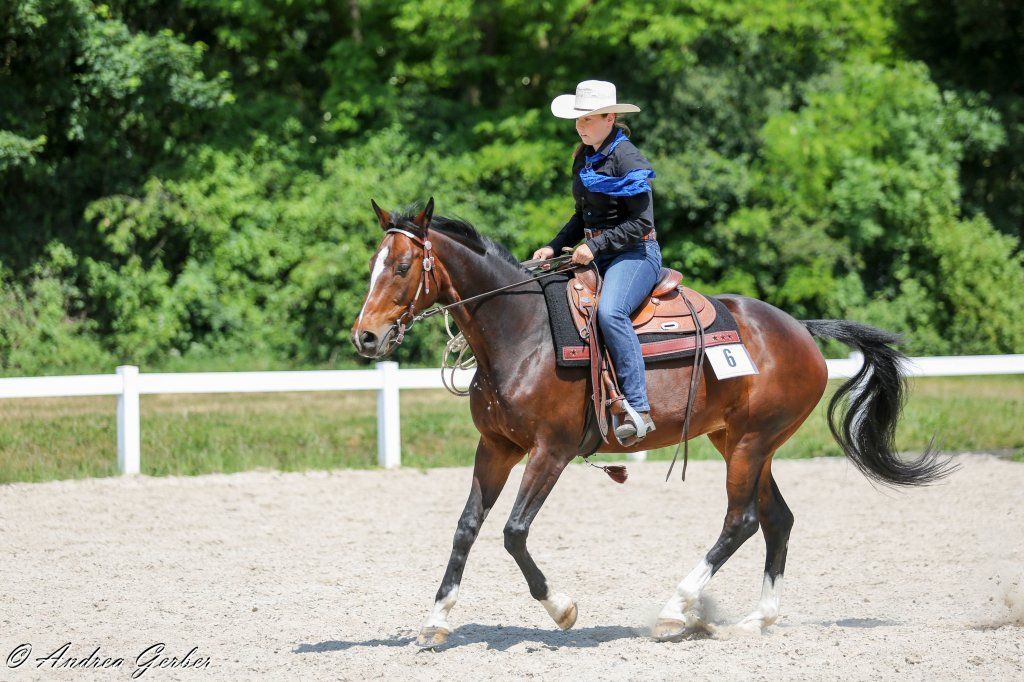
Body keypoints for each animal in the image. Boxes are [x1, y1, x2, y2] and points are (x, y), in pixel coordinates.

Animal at [350, 198, 955, 647]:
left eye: (402, 267)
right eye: (373, 266)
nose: (366, 337)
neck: (522, 332)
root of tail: (800, 329)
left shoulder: (551, 451)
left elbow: (513, 532)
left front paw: (562, 609)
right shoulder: (496, 446)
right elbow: (467, 527)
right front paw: (436, 620)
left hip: (751, 445)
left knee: (742, 522)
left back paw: (674, 609)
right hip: (741, 442)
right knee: (777, 520)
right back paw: (755, 621)